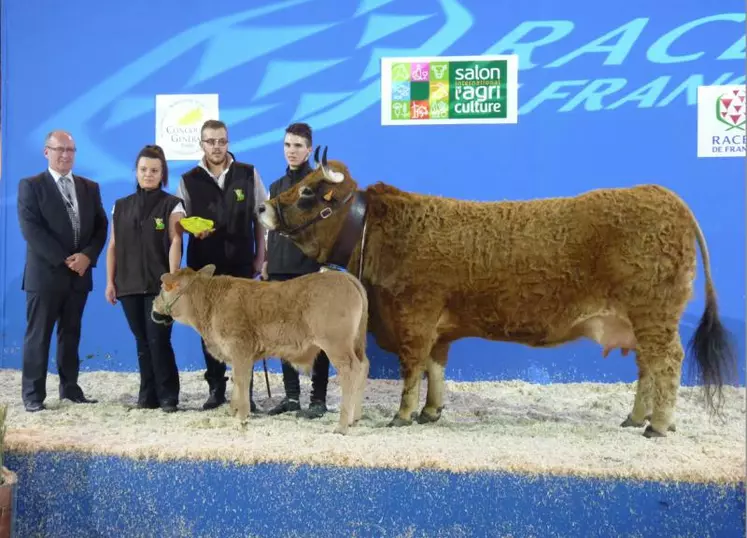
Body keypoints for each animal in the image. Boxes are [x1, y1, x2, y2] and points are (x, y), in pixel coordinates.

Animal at [152, 262, 372, 434]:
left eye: (163, 287)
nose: (154, 303)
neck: (209, 304)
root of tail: (345, 277)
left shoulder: (239, 348)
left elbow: (241, 380)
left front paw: (240, 417)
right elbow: (237, 381)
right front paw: (233, 411)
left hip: (336, 344)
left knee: (350, 370)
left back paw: (342, 425)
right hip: (356, 343)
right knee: (364, 365)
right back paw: (355, 418)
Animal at [260, 146, 740, 436]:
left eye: (307, 191)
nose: (263, 207)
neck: (379, 232)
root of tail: (663, 195)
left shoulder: (414, 316)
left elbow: (412, 369)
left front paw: (402, 415)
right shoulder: (437, 327)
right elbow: (435, 367)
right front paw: (431, 412)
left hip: (654, 314)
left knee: (667, 362)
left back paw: (657, 425)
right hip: (639, 320)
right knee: (647, 366)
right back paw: (635, 417)